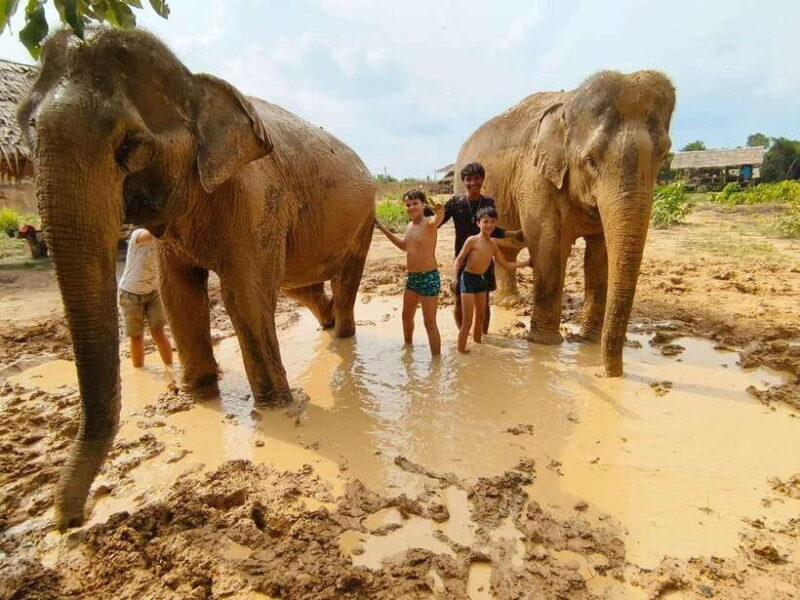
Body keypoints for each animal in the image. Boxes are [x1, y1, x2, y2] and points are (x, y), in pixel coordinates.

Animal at [17, 28, 375, 529]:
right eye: (26, 131)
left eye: (130, 146)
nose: (72, 520)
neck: (193, 80)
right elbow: (179, 293)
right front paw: (198, 396)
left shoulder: (256, 198)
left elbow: (244, 295)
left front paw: (275, 408)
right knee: (301, 285)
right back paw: (326, 328)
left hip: (365, 218)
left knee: (341, 283)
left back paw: (342, 337)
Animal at [454, 70, 675, 377]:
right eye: (590, 161)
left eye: (664, 155)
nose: (610, 374)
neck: (569, 104)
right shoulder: (535, 178)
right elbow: (548, 246)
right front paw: (545, 344)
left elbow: (600, 255)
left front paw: (589, 342)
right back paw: (509, 303)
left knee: (505, 248)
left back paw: (512, 302)